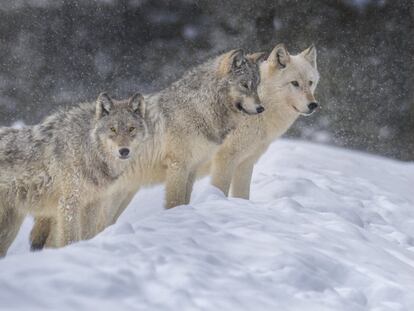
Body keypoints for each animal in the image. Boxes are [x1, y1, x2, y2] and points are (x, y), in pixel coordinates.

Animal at [0, 92, 147, 256]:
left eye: (131, 128)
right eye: (113, 129)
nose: (124, 151)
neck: (88, 148)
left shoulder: (93, 203)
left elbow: (88, 234)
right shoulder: (69, 203)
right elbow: (70, 238)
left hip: (9, 228)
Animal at [210, 44, 320, 199]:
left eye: (310, 83)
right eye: (294, 83)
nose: (313, 105)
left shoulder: (246, 162)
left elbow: (242, 196)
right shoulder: (225, 159)